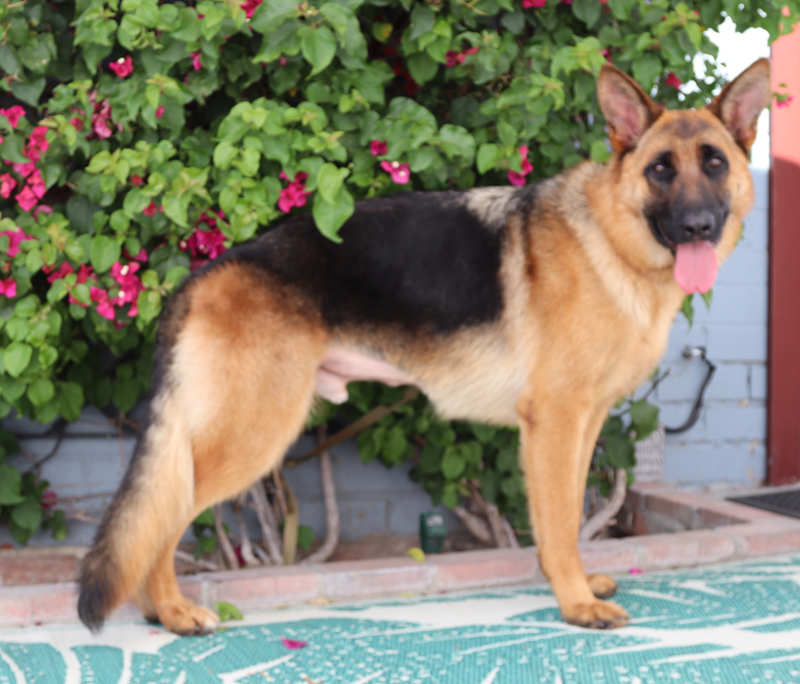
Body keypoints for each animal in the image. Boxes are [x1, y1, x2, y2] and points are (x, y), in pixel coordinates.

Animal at [78, 58, 771, 635]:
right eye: (660, 170)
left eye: (714, 164)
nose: (698, 227)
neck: (608, 237)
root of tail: (205, 273)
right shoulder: (554, 422)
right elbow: (555, 523)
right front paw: (574, 604)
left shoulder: (584, 422)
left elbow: (571, 515)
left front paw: (577, 584)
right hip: (251, 434)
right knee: (165, 519)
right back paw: (173, 613)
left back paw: (157, 612)